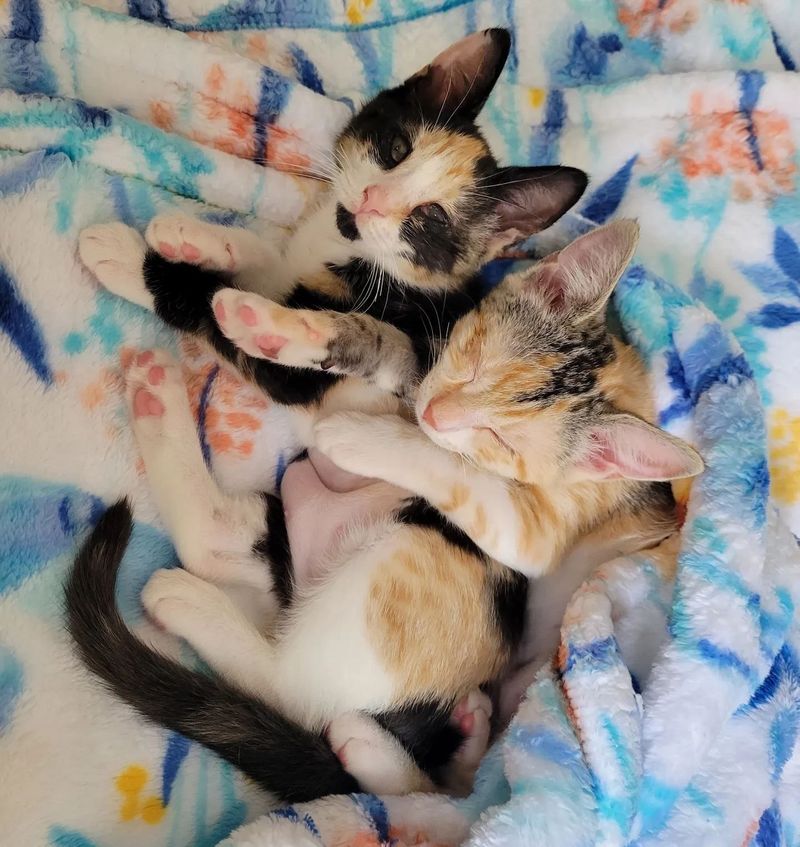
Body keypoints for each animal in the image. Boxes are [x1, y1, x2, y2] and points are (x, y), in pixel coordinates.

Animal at [69, 220, 704, 800]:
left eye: (502, 440)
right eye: (473, 360)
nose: (436, 415)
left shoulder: (528, 525)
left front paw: (164, 274)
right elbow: (301, 282)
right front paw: (203, 241)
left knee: (299, 690)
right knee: (216, 538)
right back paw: (157, 396)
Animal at [78, 28, 584, 430]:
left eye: (433, 217)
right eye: (396, 148)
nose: (372, 199)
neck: (353, 249)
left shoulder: (299, 380)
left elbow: (206, 304)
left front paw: (127, 256)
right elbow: (271, 260)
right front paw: (199, 238)